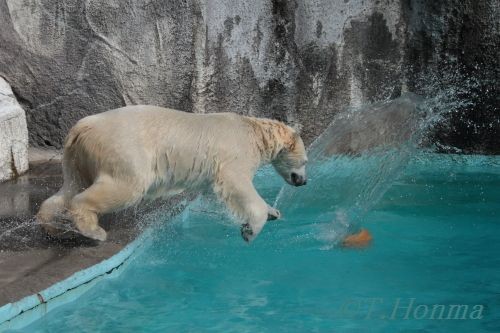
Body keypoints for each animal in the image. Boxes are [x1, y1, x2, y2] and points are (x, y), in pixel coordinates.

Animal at [35, 105, 306, 241]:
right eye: (305, 161)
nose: (303, 181)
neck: (254, 131)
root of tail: (82, 127)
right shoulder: (234, 152)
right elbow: (236, 183)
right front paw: (251, 229)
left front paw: (274, 212)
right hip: (124, 150)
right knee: (123, 187)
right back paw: (94, 230)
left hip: (77, 157)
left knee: (70, 187)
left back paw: (51, 226)